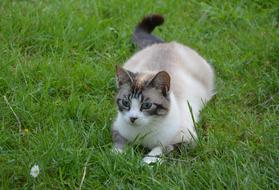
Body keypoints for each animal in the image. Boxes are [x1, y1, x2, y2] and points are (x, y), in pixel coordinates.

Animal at [111, 14, 214, 164]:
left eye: (147, 105)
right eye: (125, 103)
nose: (133, 118)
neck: (142, 133)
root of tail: (167, 43)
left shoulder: (187, 140)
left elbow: (161, 148)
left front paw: (146, 163)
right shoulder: (117, 129)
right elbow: (120, 144)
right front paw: (117, 158)